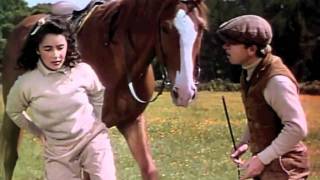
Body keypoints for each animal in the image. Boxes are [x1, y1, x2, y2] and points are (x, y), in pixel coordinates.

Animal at [0, 0, 209, 179]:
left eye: (201, 28)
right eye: (165, 28)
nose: (184, 92)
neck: (119, 58)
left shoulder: (132, 121)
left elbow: (149, 169)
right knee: (10, 158)